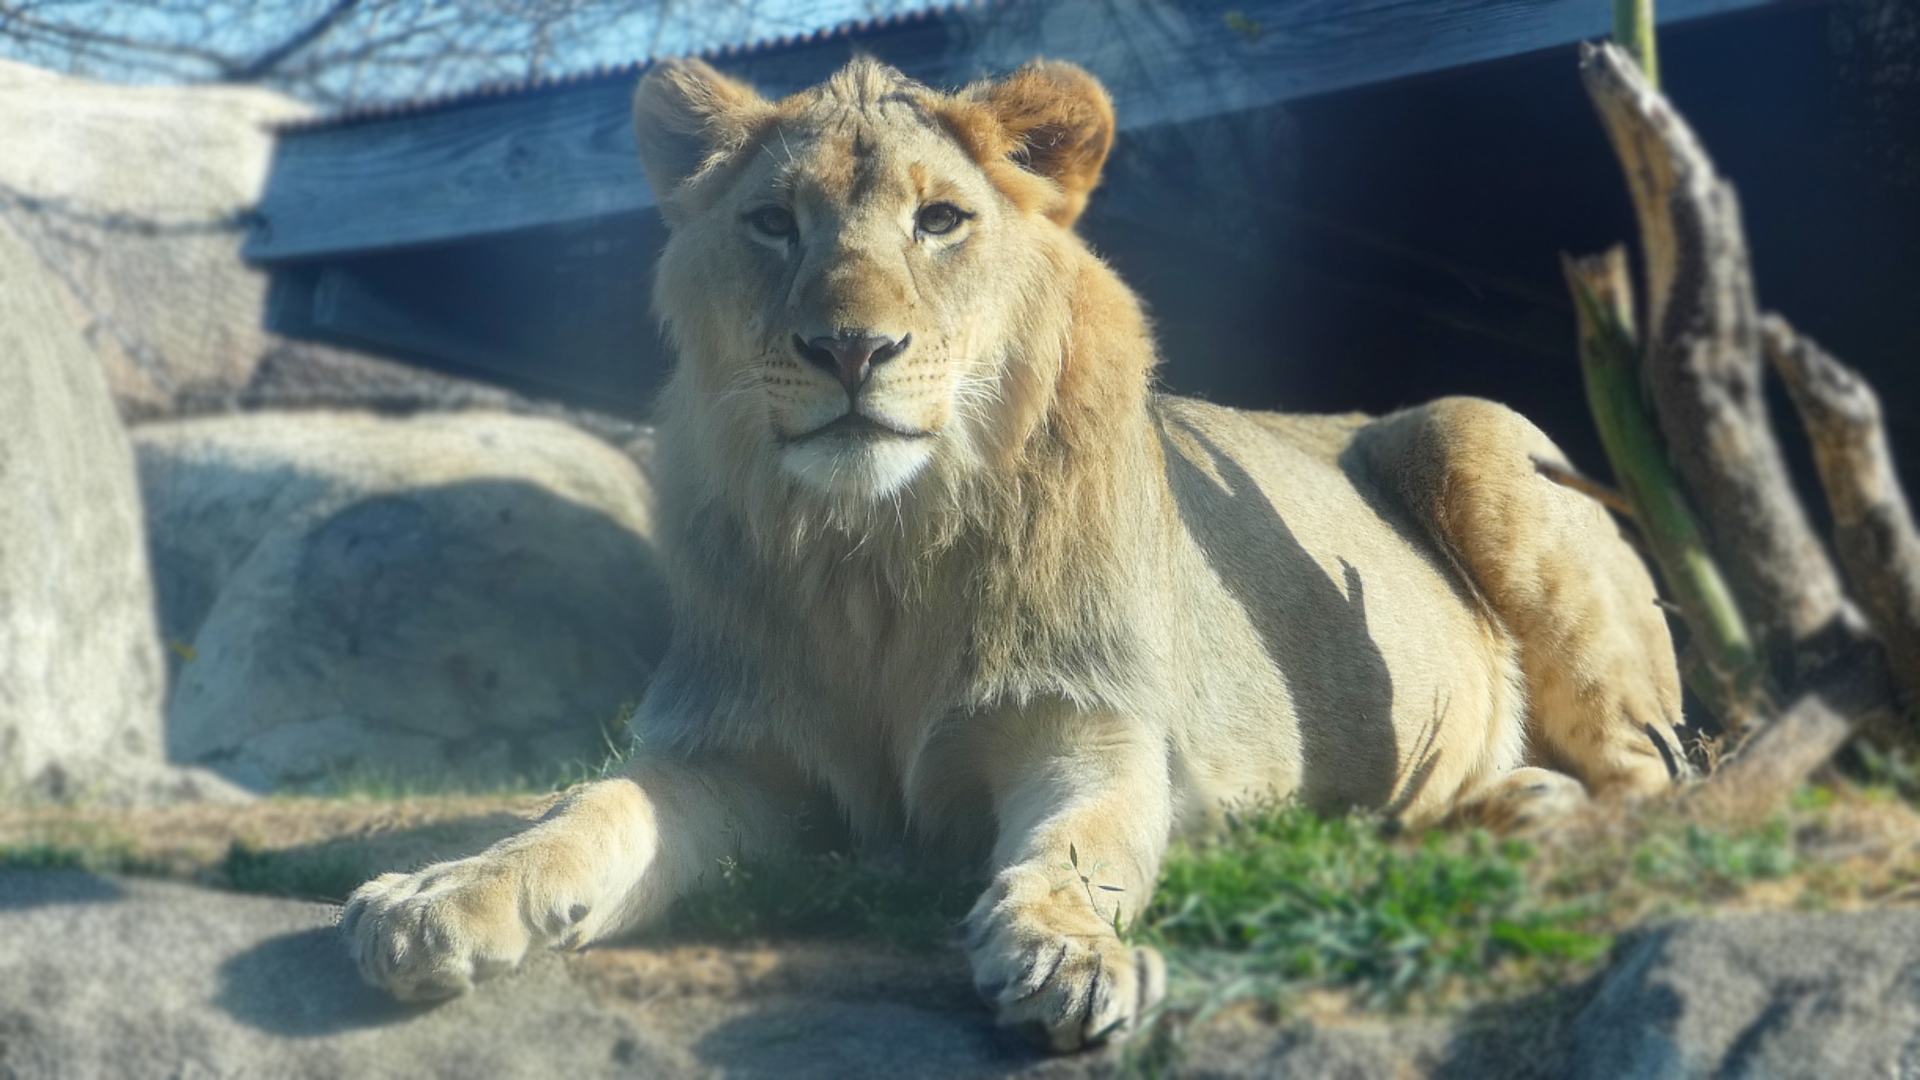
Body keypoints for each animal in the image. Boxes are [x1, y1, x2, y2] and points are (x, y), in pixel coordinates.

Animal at [340, 56, 1683, 1050]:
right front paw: (440, 896)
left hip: (1477, 433)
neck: (876, 552)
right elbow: (587, 808)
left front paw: (1066, 953)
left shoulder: (1094, 723)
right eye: (773, 224)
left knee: (1654, 784)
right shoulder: (735, 752)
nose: (849, 349)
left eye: (940, 221)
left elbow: (1082, 844)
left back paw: (1532, 811)